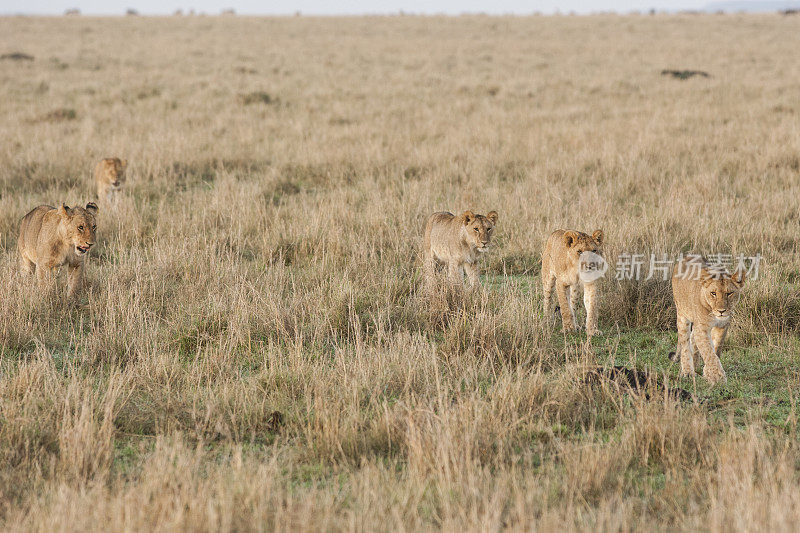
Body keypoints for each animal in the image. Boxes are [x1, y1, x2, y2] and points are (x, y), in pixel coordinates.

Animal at [668, 256, 744, 384]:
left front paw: (708, 373)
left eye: (729, 293)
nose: (721, 311)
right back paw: (687, 372)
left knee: (692, 340)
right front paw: (718, 377)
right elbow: (708, 351)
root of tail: (686, 257)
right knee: (684, 344)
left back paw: (695, 365)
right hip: (682, 314)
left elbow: (716, 349)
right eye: (713, 293)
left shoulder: (722, 326)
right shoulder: (702, 329)